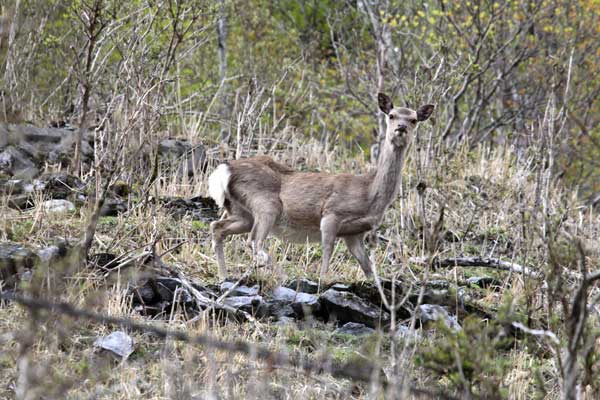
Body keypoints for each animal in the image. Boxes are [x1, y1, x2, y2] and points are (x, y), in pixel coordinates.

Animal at [209, 94, 434, 282]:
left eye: (414, 119)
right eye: (391, 115)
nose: (401, 127)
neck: (369, 193)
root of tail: (224, 170)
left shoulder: (355, 233)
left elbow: (366, 267)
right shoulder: (331, 214)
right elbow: (328, 249)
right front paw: (323, 278)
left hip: (241, 212)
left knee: (218, 227)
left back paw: (223, 275)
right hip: (266, 204)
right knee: (254, 242)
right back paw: (282, 275)